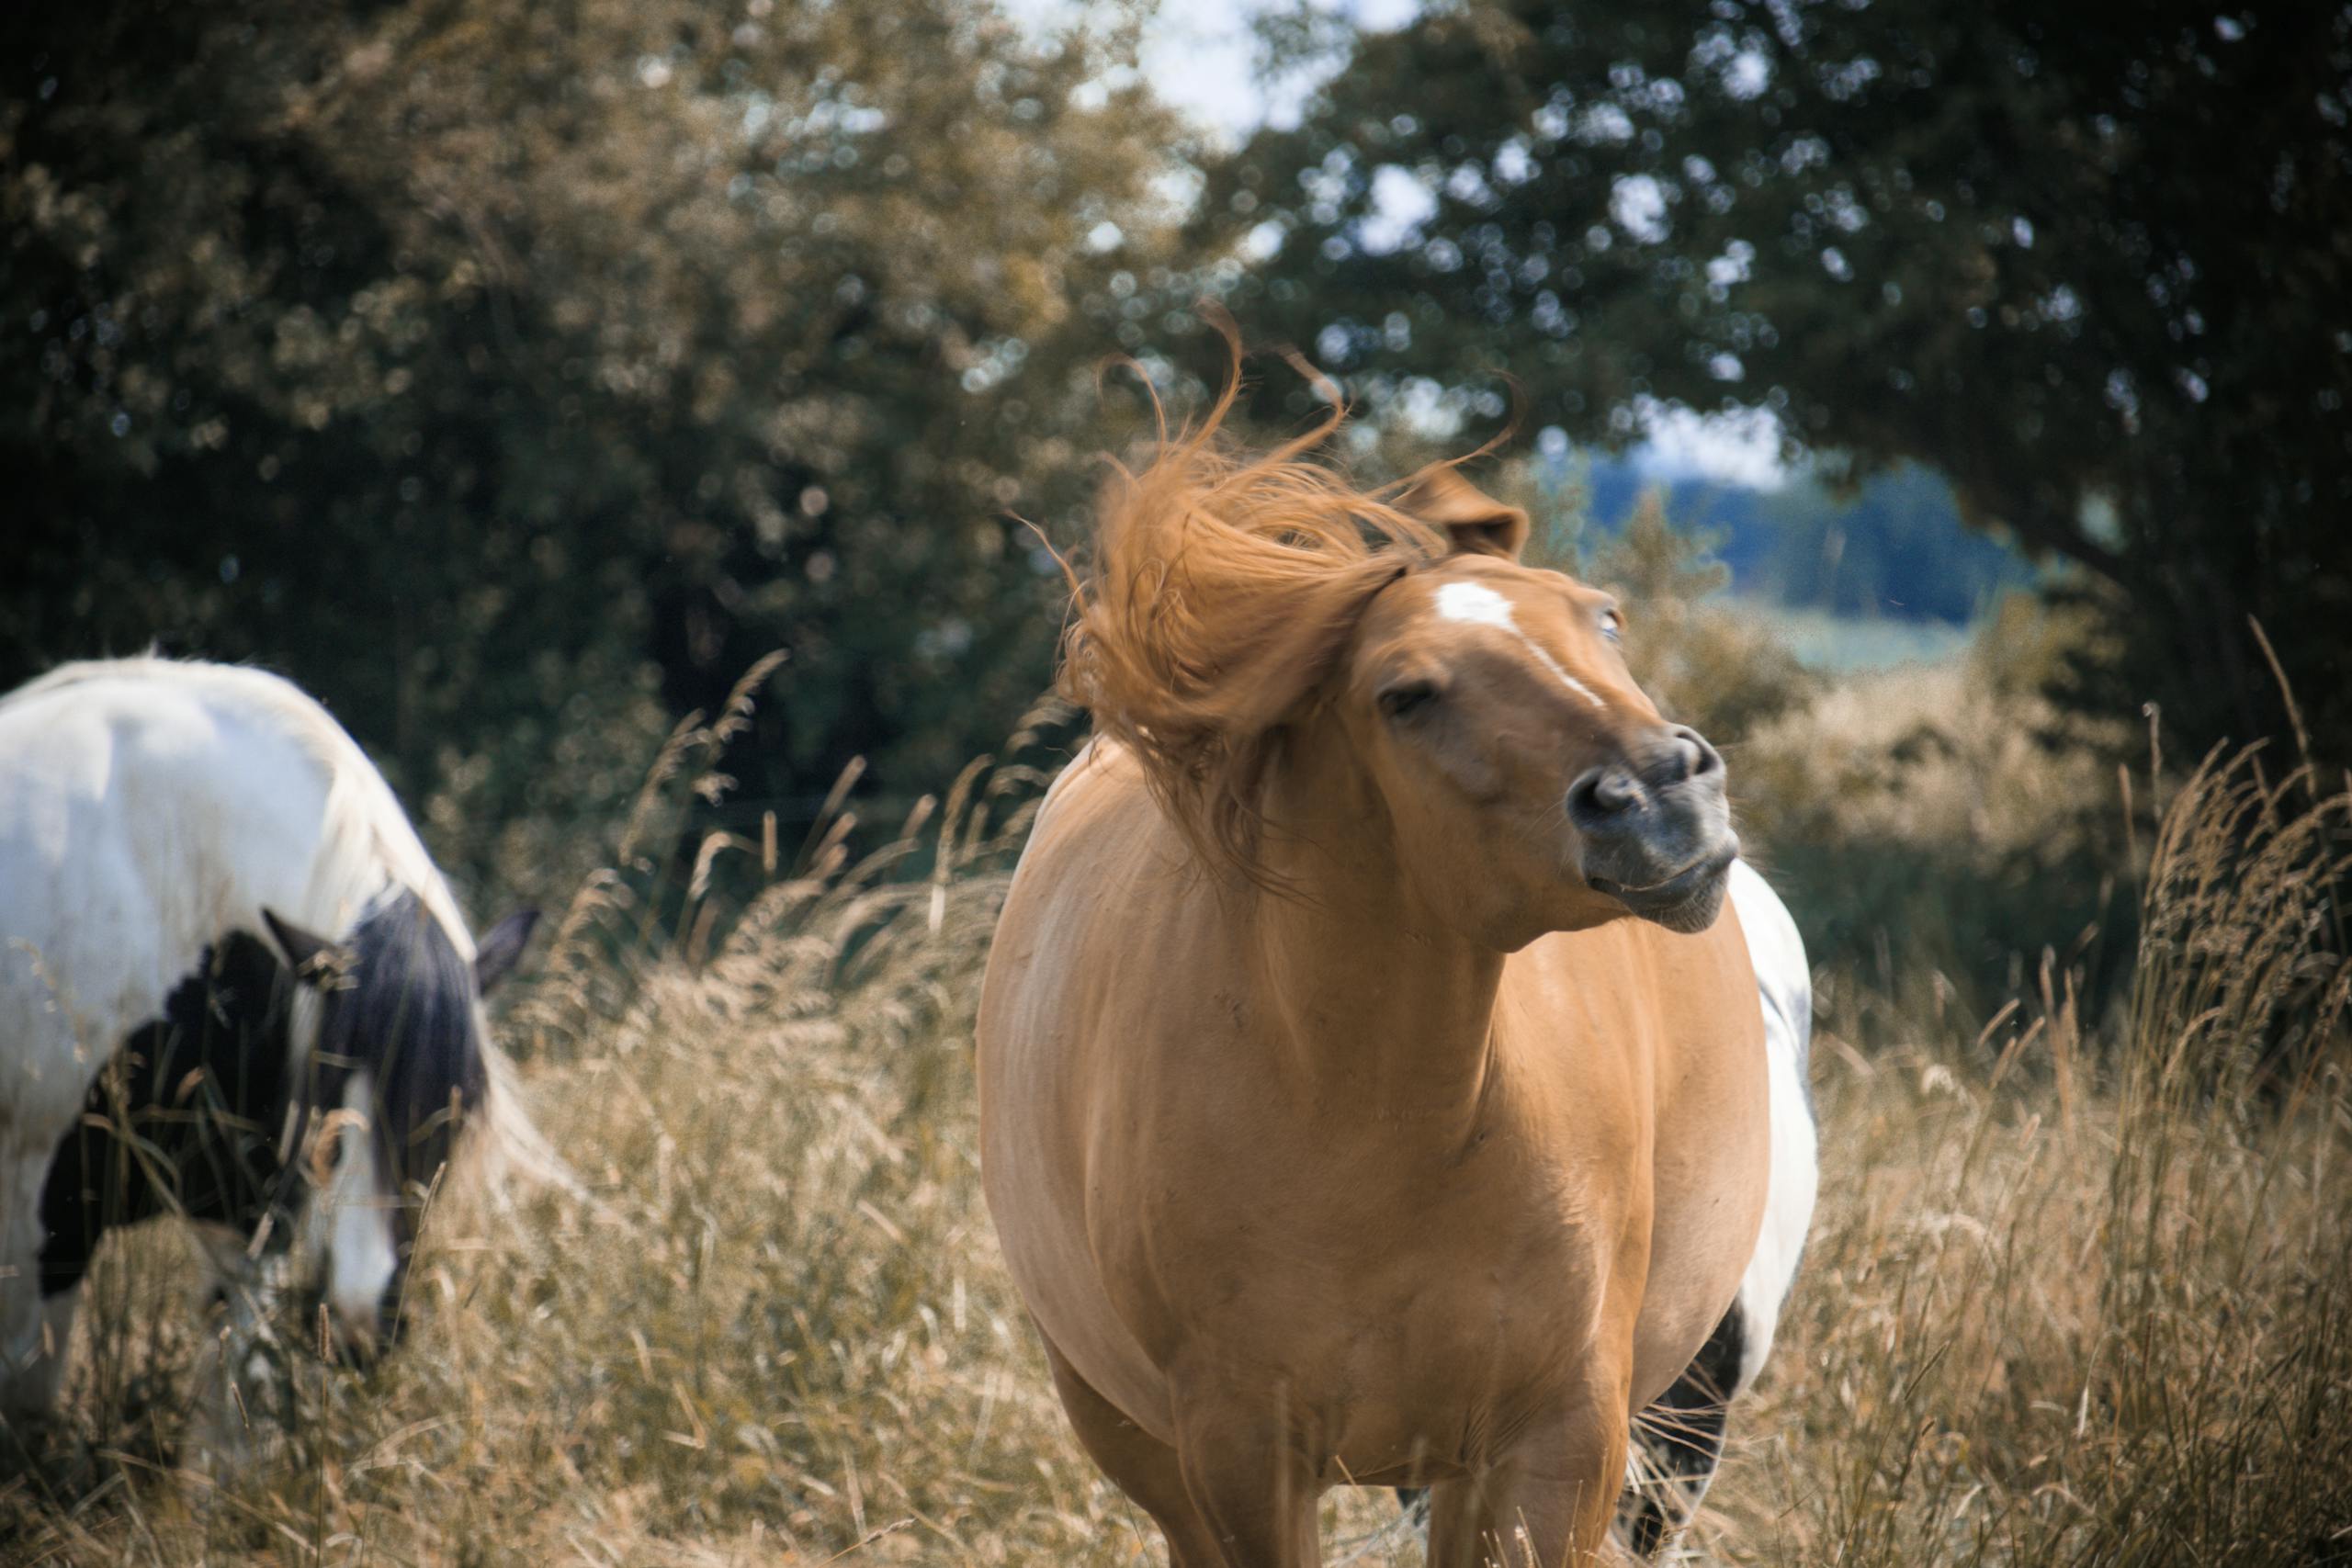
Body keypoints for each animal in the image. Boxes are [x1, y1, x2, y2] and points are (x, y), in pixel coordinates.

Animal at [0, 658, 538, 1438]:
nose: (360, 1324)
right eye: (327, 1093)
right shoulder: (41, 1209)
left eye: (450, 1119)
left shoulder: (251, 1222)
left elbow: (235, 1416)